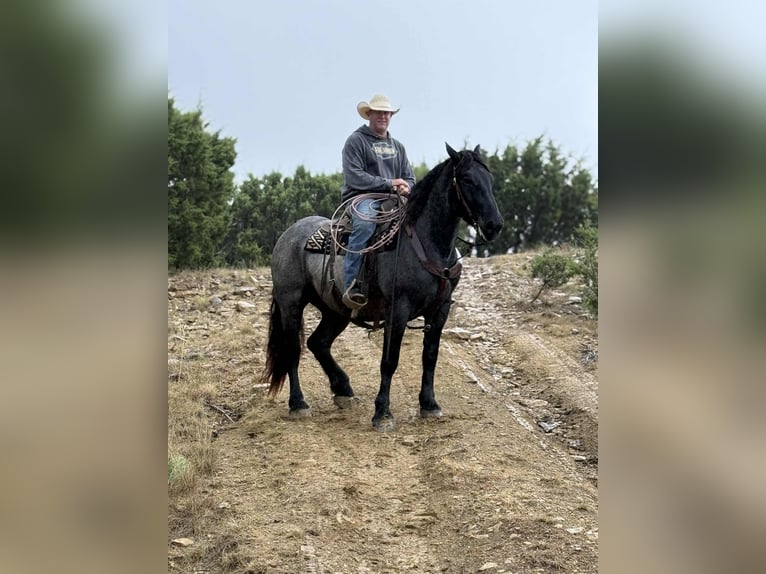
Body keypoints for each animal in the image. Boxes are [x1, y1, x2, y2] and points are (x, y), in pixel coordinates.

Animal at [260, 143, 503, 431]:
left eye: (490, 179)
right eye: (466, 179)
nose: (494, 225)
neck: (426, 244)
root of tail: (288, 235)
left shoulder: (440, 310)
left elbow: (430, 357)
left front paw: (429, 405)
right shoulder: (398, 310)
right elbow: (389, 361)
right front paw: (382, 413)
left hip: (335, 310)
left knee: (318, 342)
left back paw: (343, 390)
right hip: (291, 302)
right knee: (293, 349)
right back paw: (298, 403)